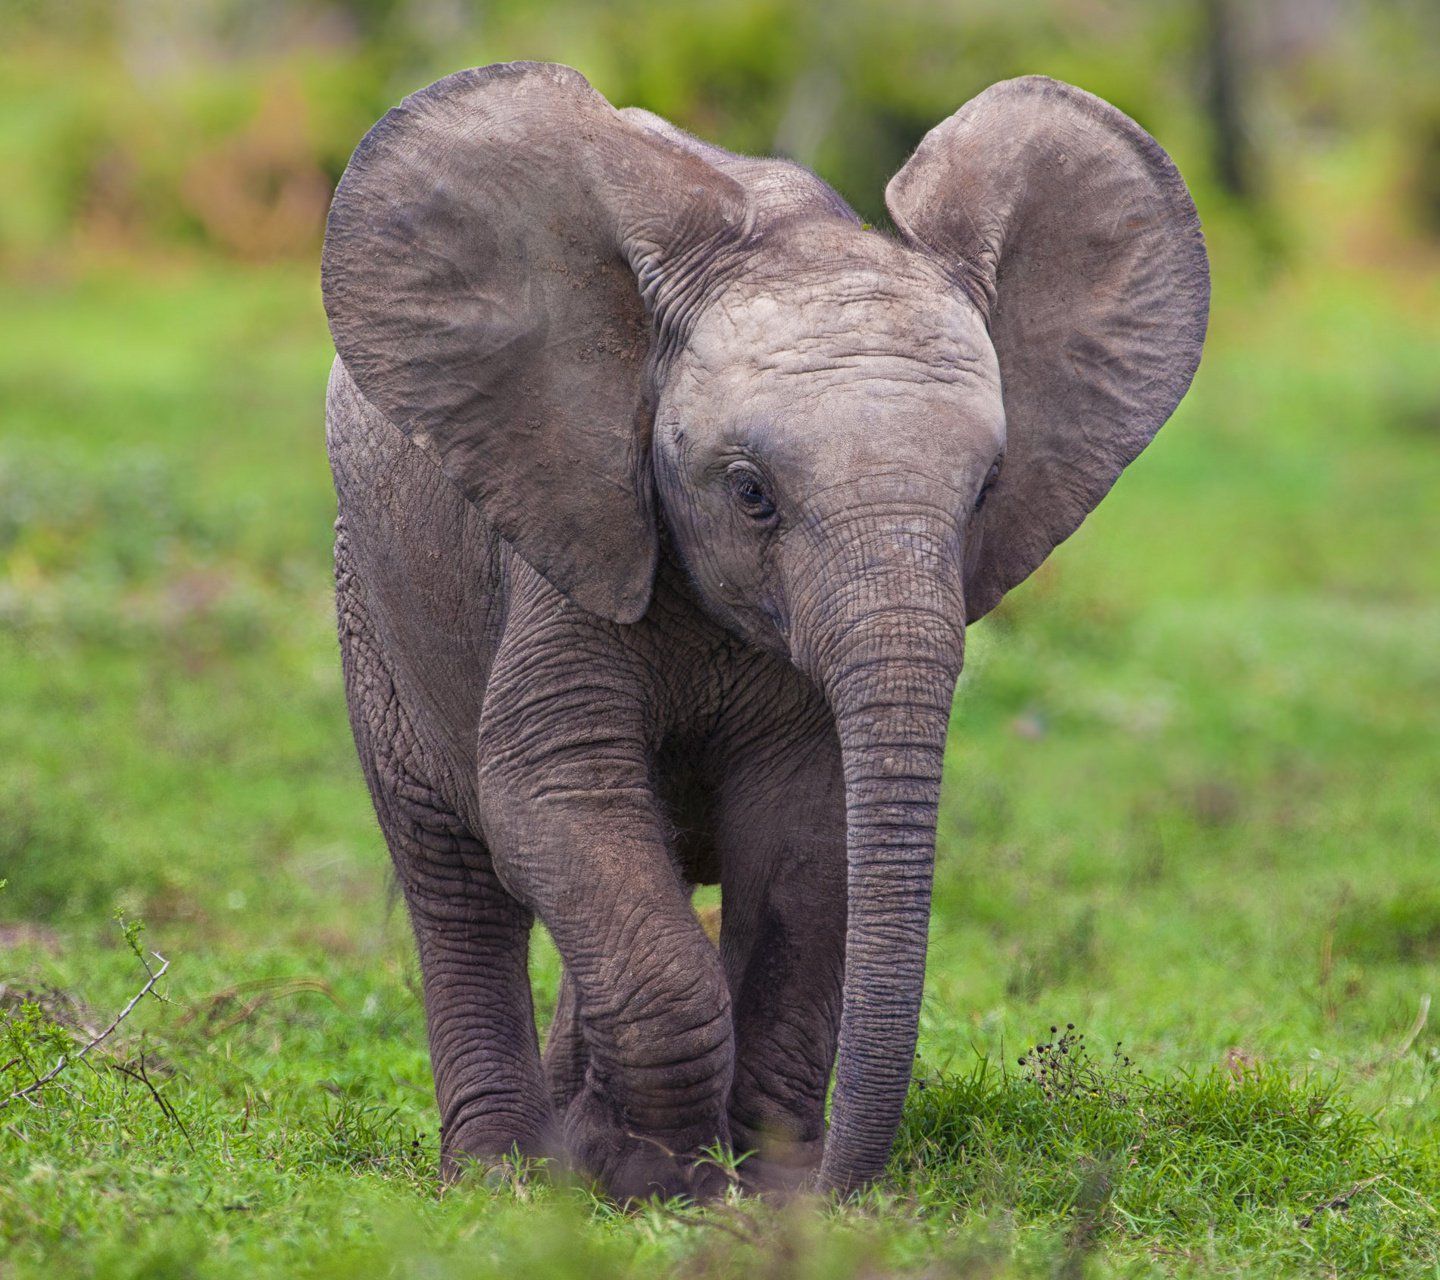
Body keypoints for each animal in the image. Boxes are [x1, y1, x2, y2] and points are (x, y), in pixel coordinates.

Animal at [320, 61, 1208, 1202]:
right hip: (372, 591)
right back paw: (500, 1170)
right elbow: (555, 793)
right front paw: (651, 1175)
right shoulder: (571, 538)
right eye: (751, 494)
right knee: (455, 874)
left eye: (985, 492)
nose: (830, 1181)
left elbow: (805, 836)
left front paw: (744, 1178)